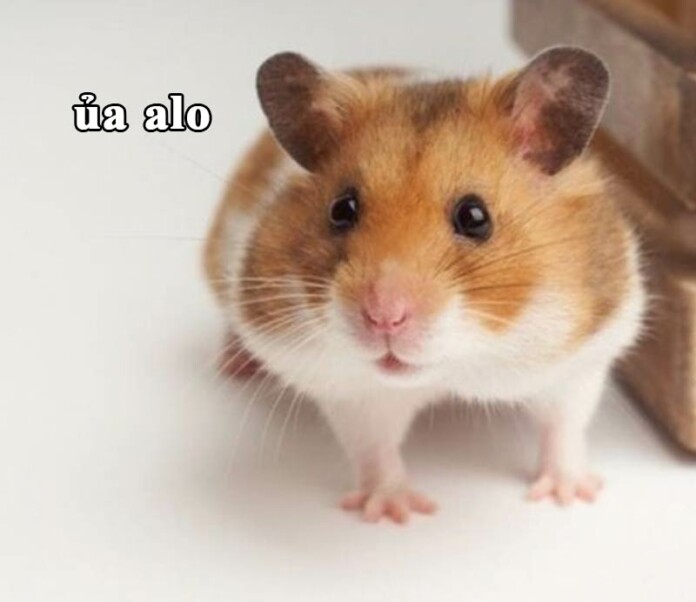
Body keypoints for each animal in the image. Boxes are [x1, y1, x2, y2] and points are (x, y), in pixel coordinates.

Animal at [204, 47, 646, 523]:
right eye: (342, 210)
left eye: (475, 217)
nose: (384, 317)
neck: (457, 365)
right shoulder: (353, 391)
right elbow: (374, 449)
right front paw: (395, 513)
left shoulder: (580, 360)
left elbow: (564, 427)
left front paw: (570, 495)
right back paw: (234, 365)